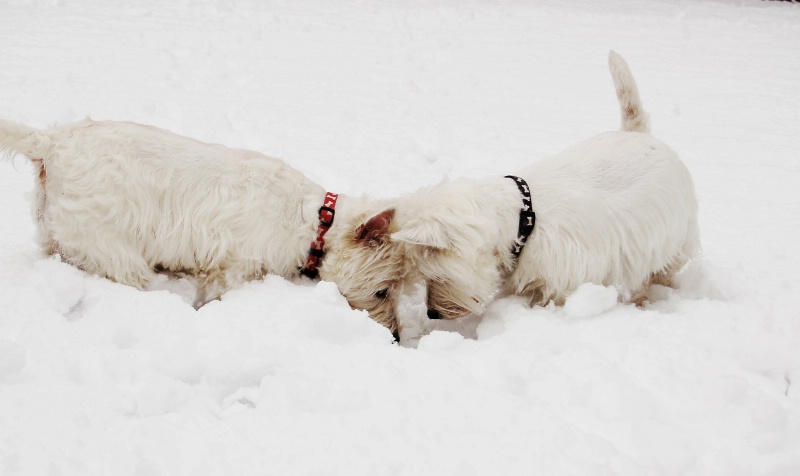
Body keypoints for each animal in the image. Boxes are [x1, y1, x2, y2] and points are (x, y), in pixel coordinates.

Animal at [0, 118, 400, 334]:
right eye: (382, 292)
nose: (395, 335)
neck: (316, 220)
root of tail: (52, 143)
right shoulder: (234, 265)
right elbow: (214, 294)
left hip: (59, 235)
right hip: (112, 247)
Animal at [392, 51, 700, 320]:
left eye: (435, 275)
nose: (432, 314)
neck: (524, 219)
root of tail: (638, 133)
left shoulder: (567, 278)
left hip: (675, 237)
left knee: (660, 272)